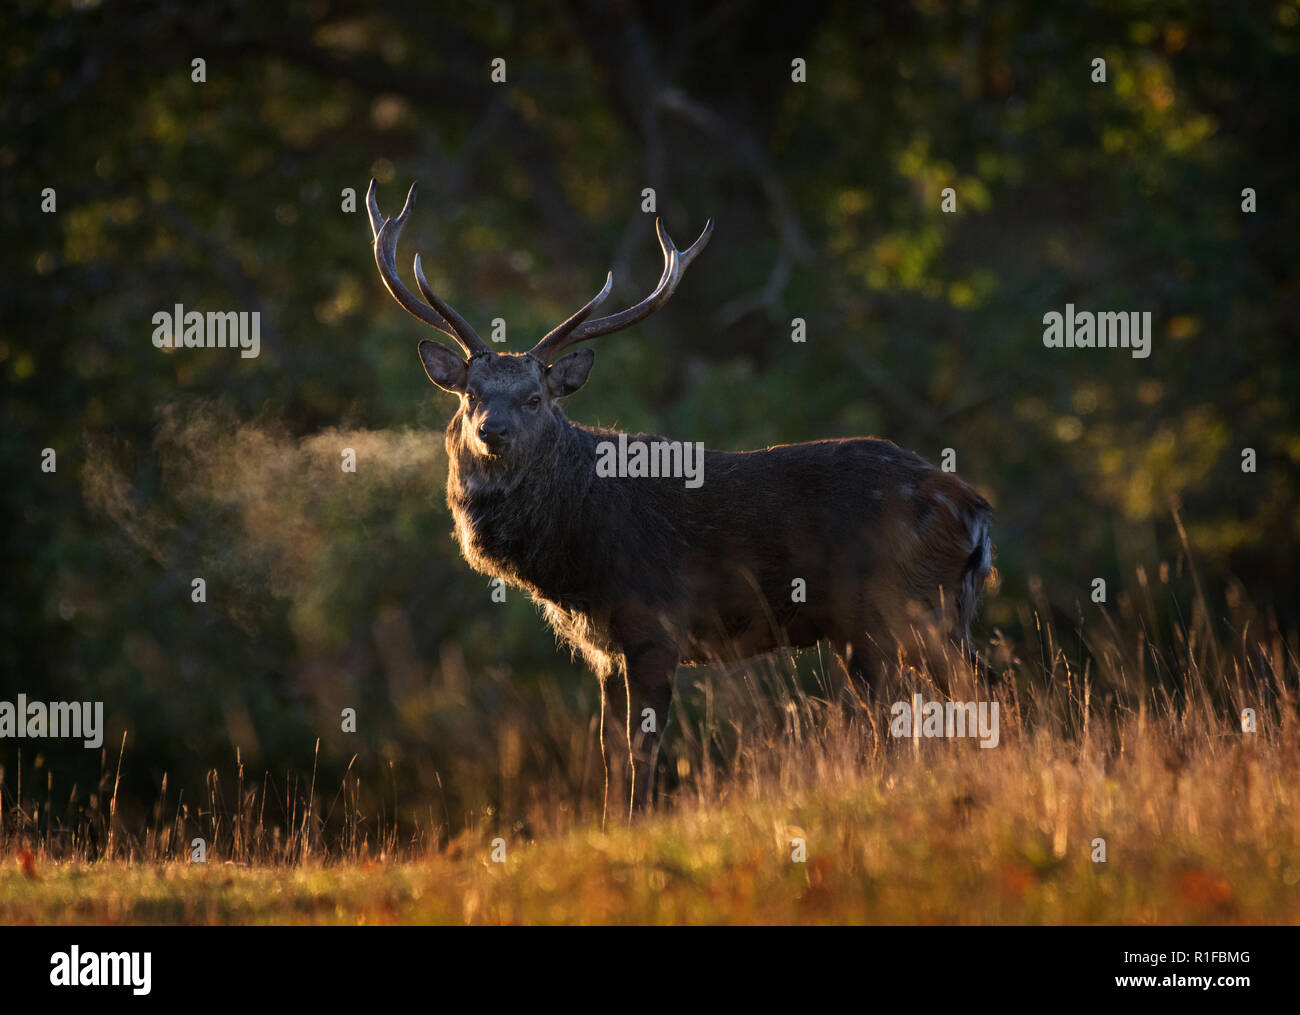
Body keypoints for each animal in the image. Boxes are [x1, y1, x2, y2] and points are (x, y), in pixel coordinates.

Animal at [367, 179, 994, 820]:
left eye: (534, 397)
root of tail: (972, 508)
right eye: (470, 394)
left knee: (934, 704)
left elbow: (643, 745)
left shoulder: (654, 621)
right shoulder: (604, 648)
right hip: (929, 614)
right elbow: (608, 748)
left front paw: (639, 820)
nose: (491, 430)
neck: (576, 549)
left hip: (892, 607)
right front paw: (611, 823)